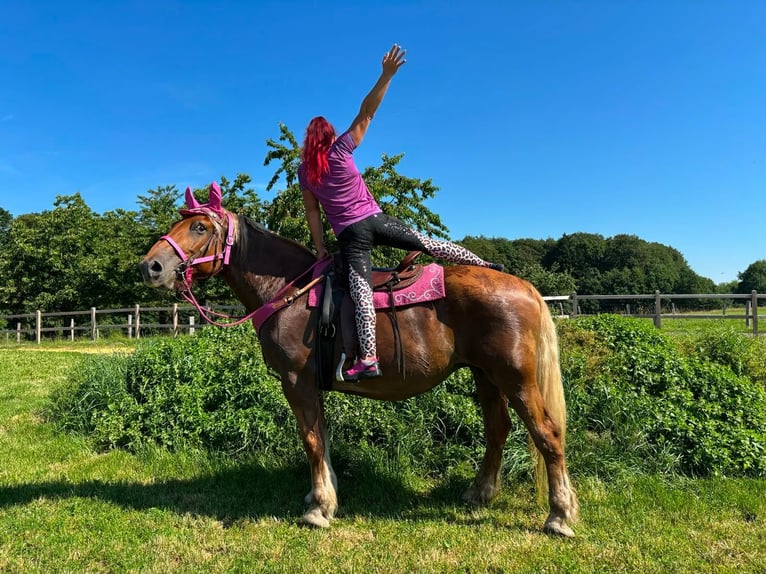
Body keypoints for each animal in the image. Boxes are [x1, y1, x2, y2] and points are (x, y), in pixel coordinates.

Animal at [138, 183, 579, 537]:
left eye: (199, 227)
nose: (151, 266)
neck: (291, 290)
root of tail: (524, 286)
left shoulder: (296, 381)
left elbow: (311, 440)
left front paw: (319, 508)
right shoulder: (311, 385)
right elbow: (322, 437)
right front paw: (324, 495)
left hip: (516, 378)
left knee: (547, 433)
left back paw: (559, 516)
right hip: (485, 375)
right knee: (498, 429)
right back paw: (479, 493)